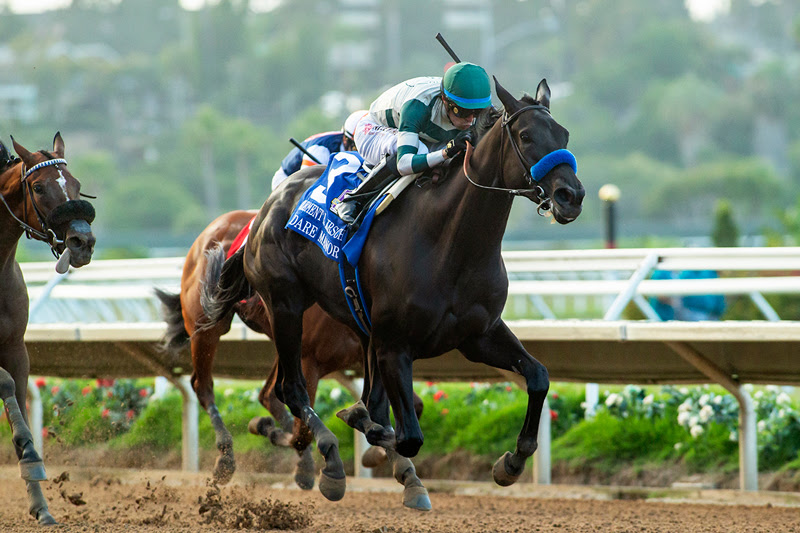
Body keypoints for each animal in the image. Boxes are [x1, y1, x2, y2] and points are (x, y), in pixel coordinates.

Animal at [156, 209, 428, 508]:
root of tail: (210, 230)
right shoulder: (311, 359)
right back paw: (226, 458)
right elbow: (301, 431)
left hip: (280, 337)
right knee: (203, 386)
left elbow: (410, 406)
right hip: (209, 325)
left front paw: (378, 454)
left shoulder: (366, 351)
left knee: (266, 394)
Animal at [200, 77, 584, 504]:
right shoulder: (394, 344)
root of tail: (264, 211)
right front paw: (366, 437)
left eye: (564, 134)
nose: (571, 196)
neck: (451, 244)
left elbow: (538, 376)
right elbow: (405, 433)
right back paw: (329, 461)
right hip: (286, 306)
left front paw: (511, 463)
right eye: (526, 135)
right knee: (291, 390)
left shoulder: (478, 335)